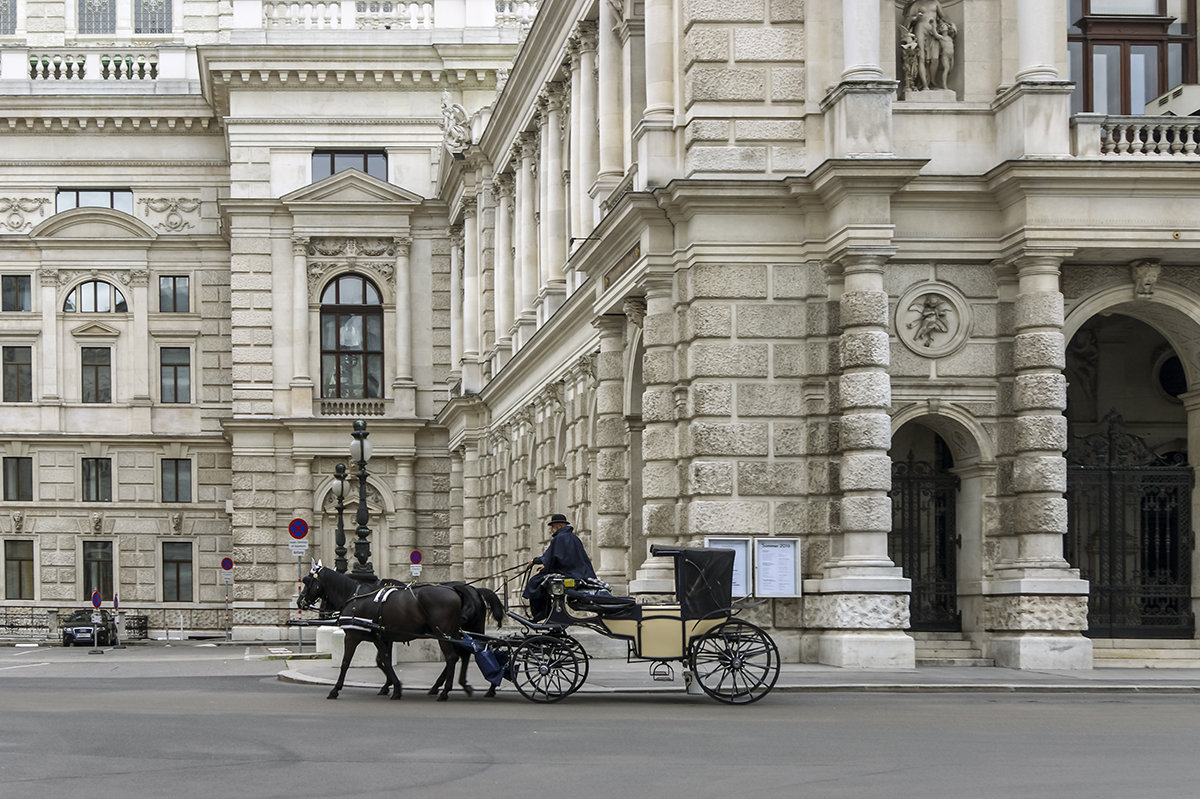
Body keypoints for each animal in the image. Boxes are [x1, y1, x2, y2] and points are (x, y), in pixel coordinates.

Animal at [296, 559, 468, 695]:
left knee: (451, 658)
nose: (299, 601)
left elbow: (346, 662)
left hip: (443, 634)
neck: (354, 597)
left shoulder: (352, 636)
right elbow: (383, 660)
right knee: (460, 654)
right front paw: (392, 686)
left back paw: (445, 691)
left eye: (306, 580)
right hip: (453, 633)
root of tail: (453, 590)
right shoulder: (381, 637)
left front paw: (335, 689)